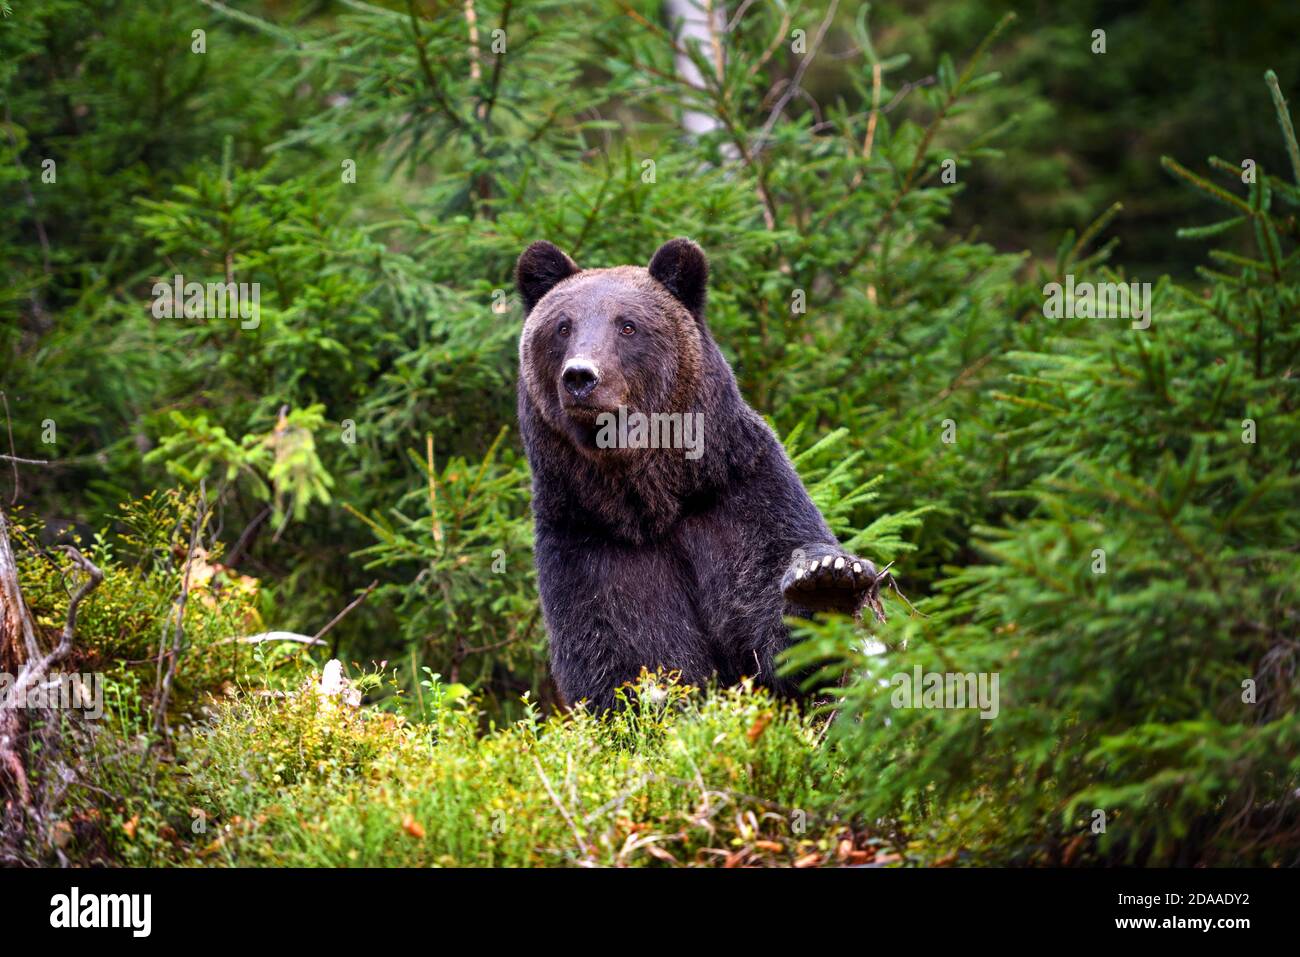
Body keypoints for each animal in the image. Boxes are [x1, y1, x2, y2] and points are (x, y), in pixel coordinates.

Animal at [516, 237, 884, 711]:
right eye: (562, 326)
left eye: (628, 326)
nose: (581, 376)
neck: (652, 501)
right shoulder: (588, 541)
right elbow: (627, 653)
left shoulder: (740, 496)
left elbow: (771, 614)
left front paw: (827, 578)